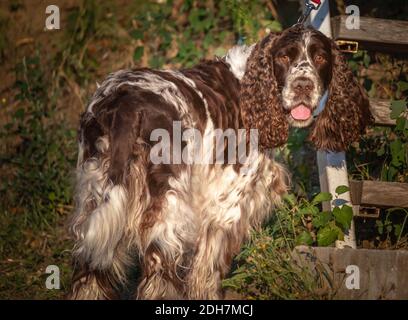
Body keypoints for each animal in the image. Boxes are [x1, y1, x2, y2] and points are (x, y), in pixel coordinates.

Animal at [67, 25, 372, 300]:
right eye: (285, 57)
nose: (303, 86)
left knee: (89, 271)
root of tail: (125, 104)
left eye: (320, 58)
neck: (251, 87)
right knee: (159, 272)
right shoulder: (226, 208)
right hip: (168, 211)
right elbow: (208, 273)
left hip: (96, 194)